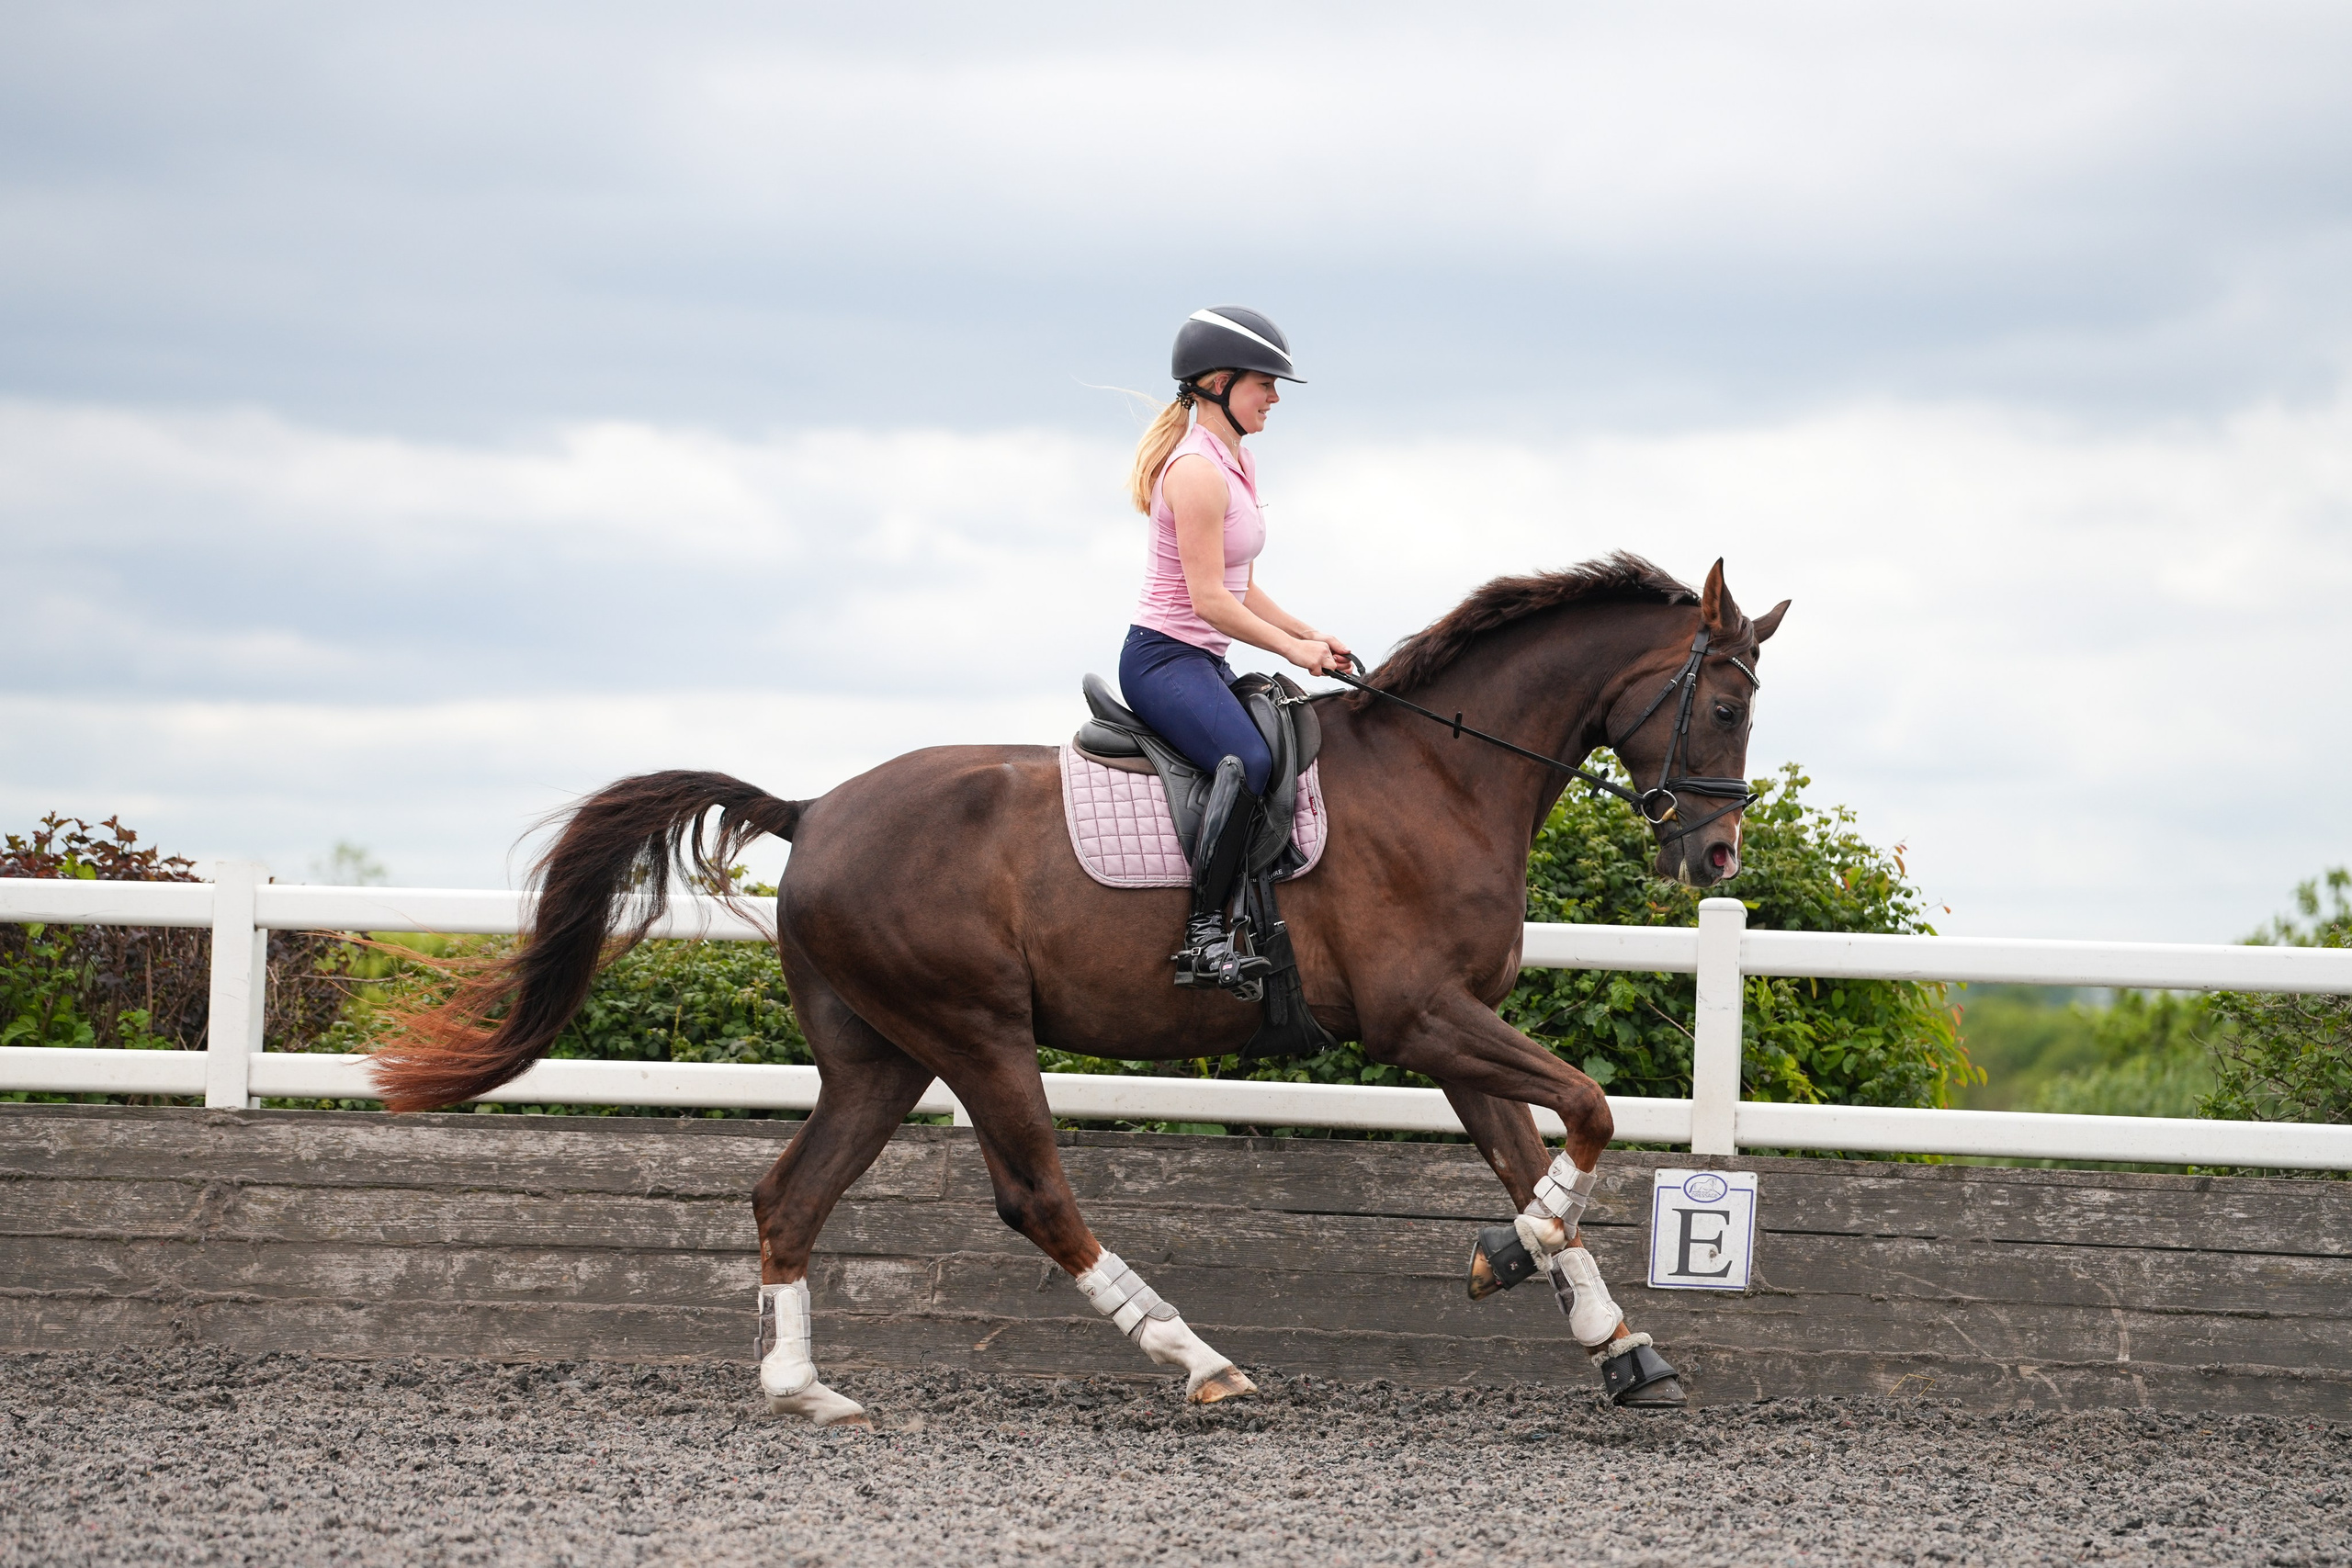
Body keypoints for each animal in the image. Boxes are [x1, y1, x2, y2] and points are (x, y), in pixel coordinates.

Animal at [369, 552, 1789, 1425]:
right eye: (1724, 705)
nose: (1713, 858)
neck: (1442, 778)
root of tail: (814, 809)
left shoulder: (1451, 1032)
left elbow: (1533, 1153)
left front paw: (1618, 1345)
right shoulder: (1419, 1019)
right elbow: (1590, 1112)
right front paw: (1512, 1262)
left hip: (880, 1054)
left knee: (792, 1194)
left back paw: (806, 1390)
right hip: (975, 1031)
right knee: (1035, 1198)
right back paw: (1196, 1359)